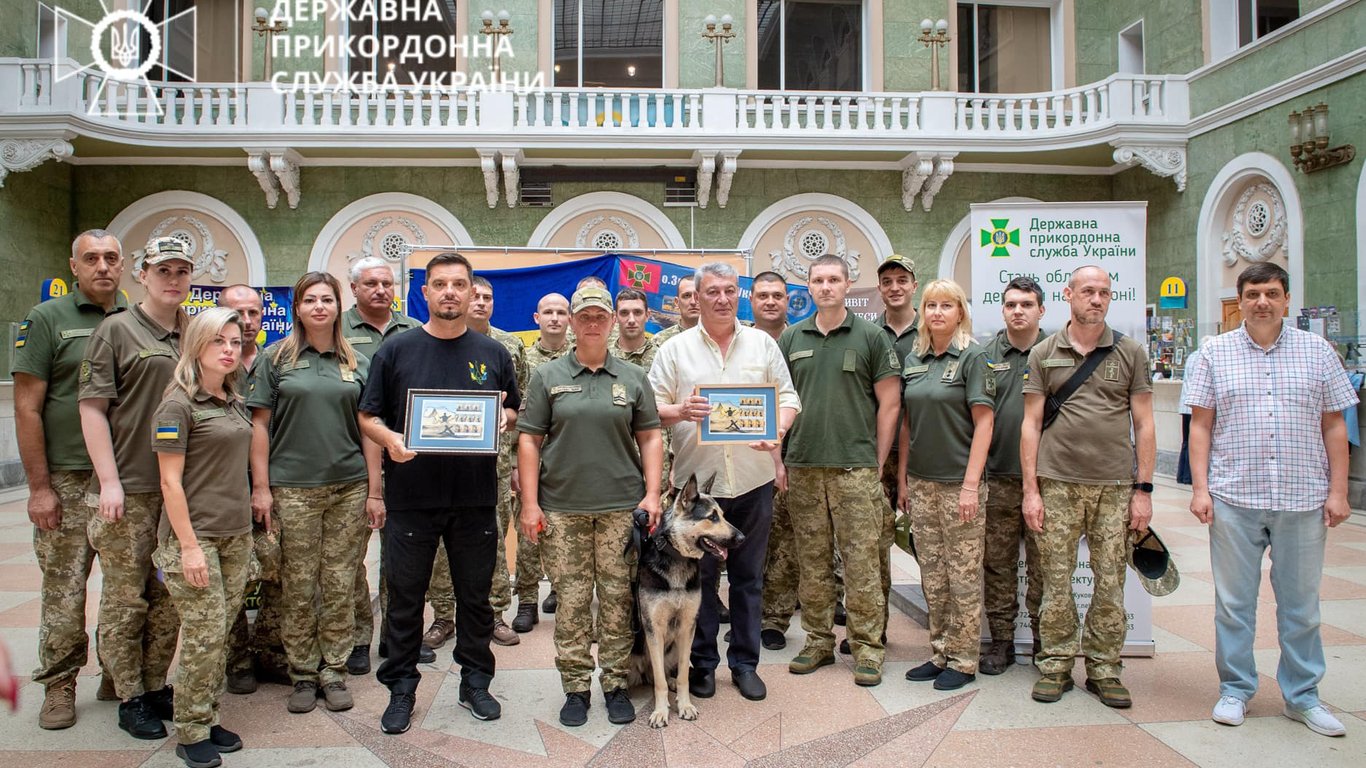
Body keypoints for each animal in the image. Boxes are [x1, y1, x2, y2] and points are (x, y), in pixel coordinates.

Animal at [631, 472, 748, 721]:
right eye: (712, 517)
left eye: (723, 515)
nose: (743, 537)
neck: (677, 557)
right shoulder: (653, 630)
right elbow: (659, 681)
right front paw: (660, 711)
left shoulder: (687, 628)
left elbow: (684, 673)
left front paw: (684, 705)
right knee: (651, 674)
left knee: (664, 673)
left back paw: (673, 681)